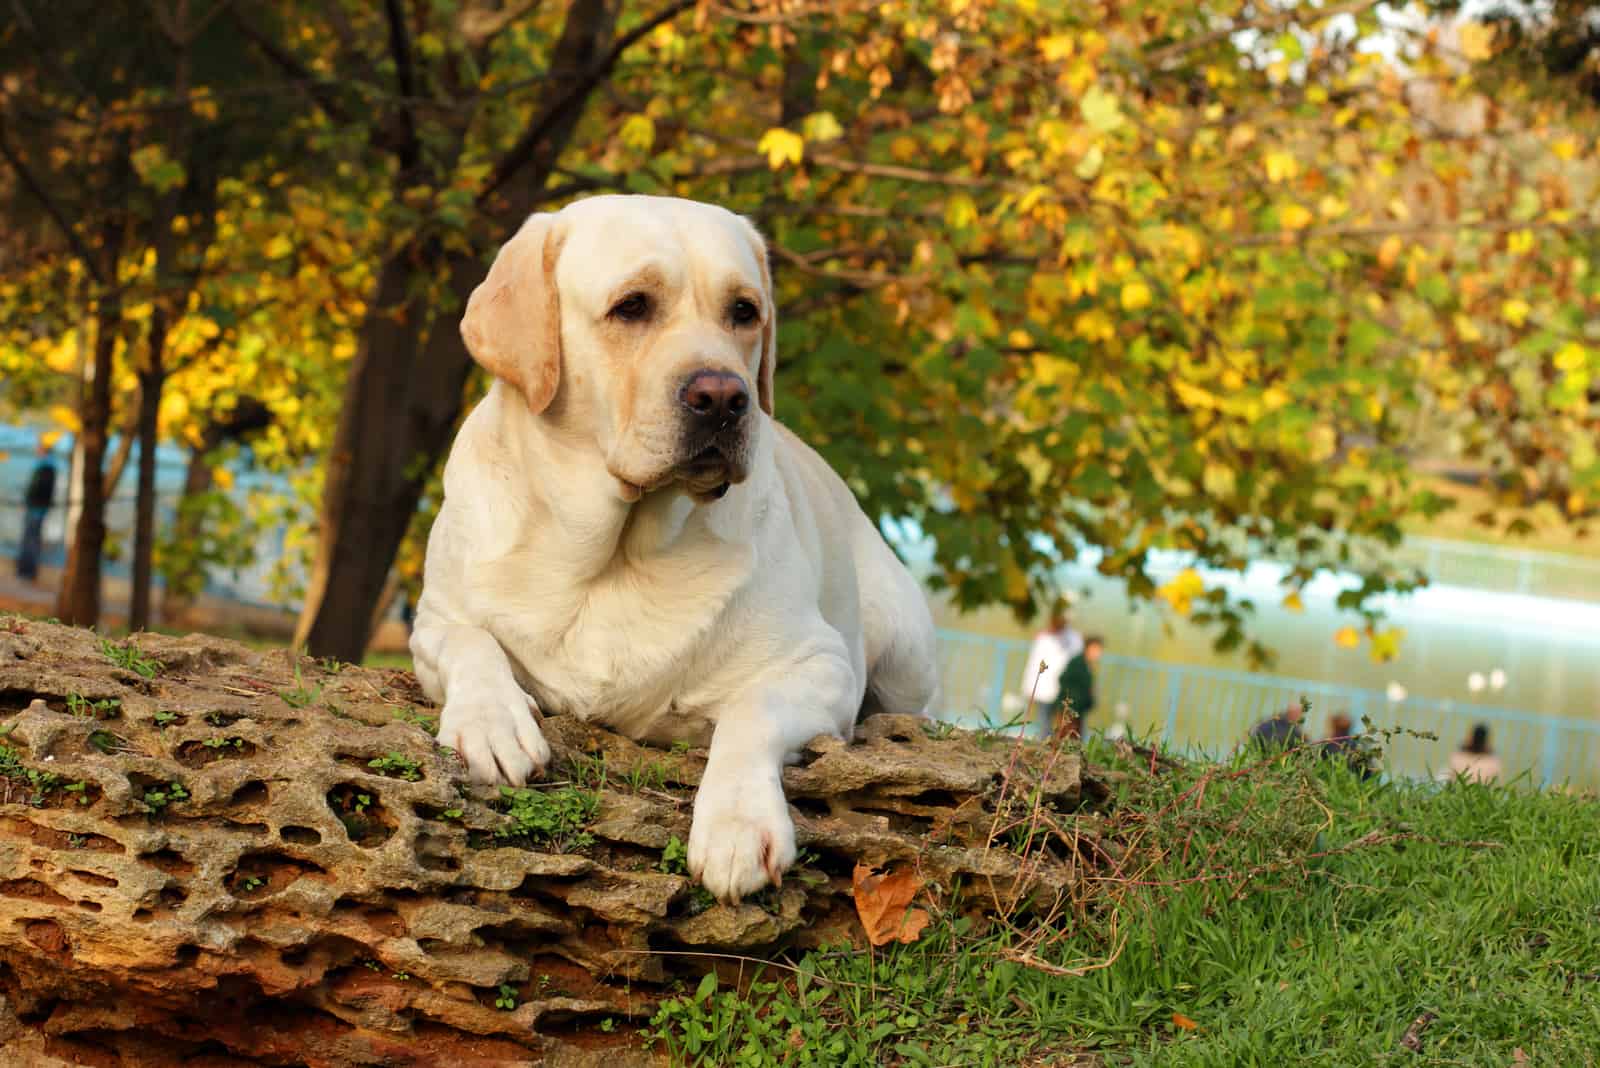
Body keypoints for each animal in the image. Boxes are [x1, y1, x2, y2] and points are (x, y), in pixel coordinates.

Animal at [409, 194, 934, 901]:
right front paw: (492, 723)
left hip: (905, 647)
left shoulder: (821, 662)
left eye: (744, 311)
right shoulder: (434, 619)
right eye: (632, 305)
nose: (725, 397)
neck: (613, 553)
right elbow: (471, 642)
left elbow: (752, 708)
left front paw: (738, 825)